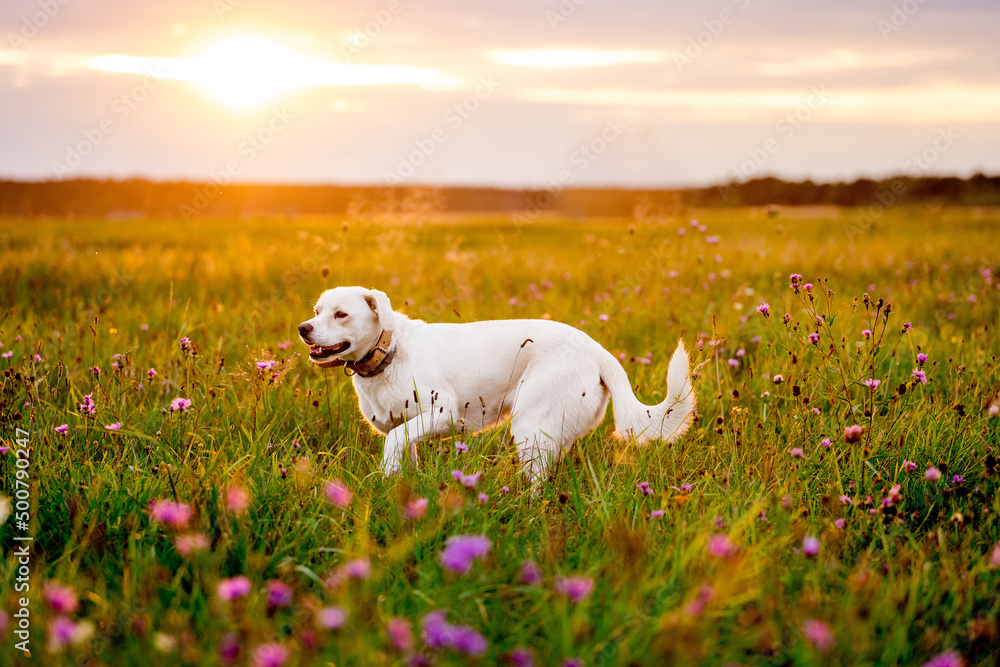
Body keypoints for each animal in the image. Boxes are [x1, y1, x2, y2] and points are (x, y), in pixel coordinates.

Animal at [298, 286, 696, 480]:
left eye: (341, 315)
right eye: (317, 311)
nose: (303, 328)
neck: (390, 350)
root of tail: (598, 351)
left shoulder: (444, 412)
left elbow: (394, 442)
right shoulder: (407, 426)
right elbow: (401, 451)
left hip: (530, 428)